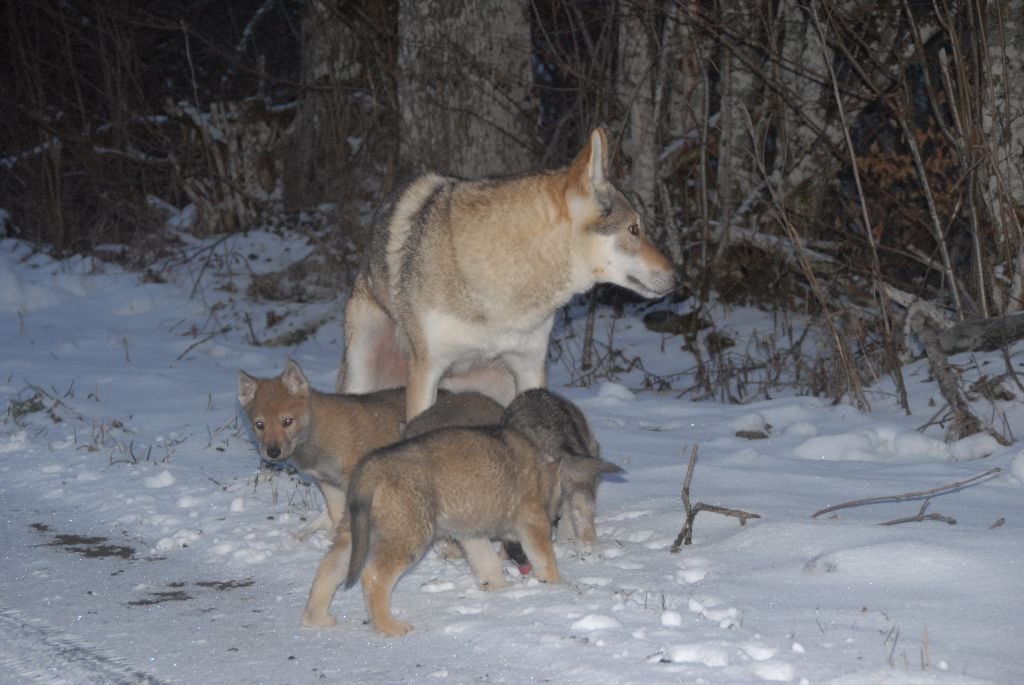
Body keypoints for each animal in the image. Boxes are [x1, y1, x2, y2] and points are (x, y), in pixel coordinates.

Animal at [339, 395, 618, 634]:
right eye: (551, 520)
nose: (522, 564)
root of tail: (373, 465)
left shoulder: (471, 533)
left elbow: (488, 563)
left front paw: (499, 590)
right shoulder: (533, 522)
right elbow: (546, 559)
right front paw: (558, 586)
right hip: (410, 538)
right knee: (373, 577)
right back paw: (389, 626)